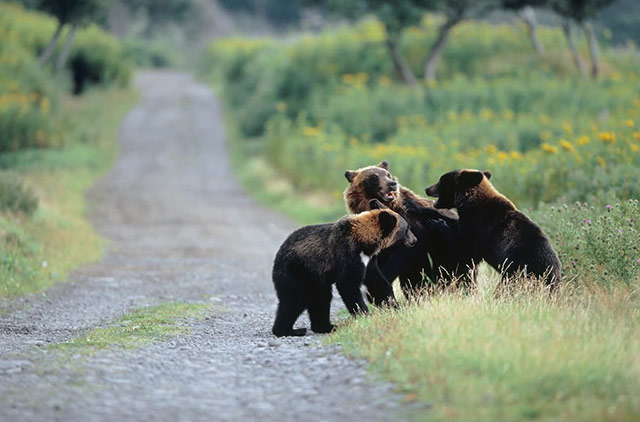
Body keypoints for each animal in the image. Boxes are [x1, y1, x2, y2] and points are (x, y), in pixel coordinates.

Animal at [272, 209, 418, 338]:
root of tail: (278, 253)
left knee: (321, 300)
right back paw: (289, 330)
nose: (415, 240)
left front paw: (395, 307)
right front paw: (364, 315)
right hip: (297, 271)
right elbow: (348, 285)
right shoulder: (347, 255)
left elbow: (378, 283)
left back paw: (327, 327)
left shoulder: (369, 262)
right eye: (407, 229)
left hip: (317, 280)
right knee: (294, 300)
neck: (365, 243)